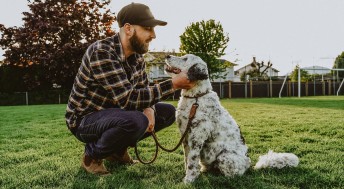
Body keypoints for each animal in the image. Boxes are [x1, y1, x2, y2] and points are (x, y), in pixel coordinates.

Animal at [165, 54, 296, 183]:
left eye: (185, 58)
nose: (167, 56)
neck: (195, 97)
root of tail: (250, 166)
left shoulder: (196, 138)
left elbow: (191, 162)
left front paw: (188, 180)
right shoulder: (185, 137)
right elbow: (187, 160)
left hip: (224, 156)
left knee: (233, 175)